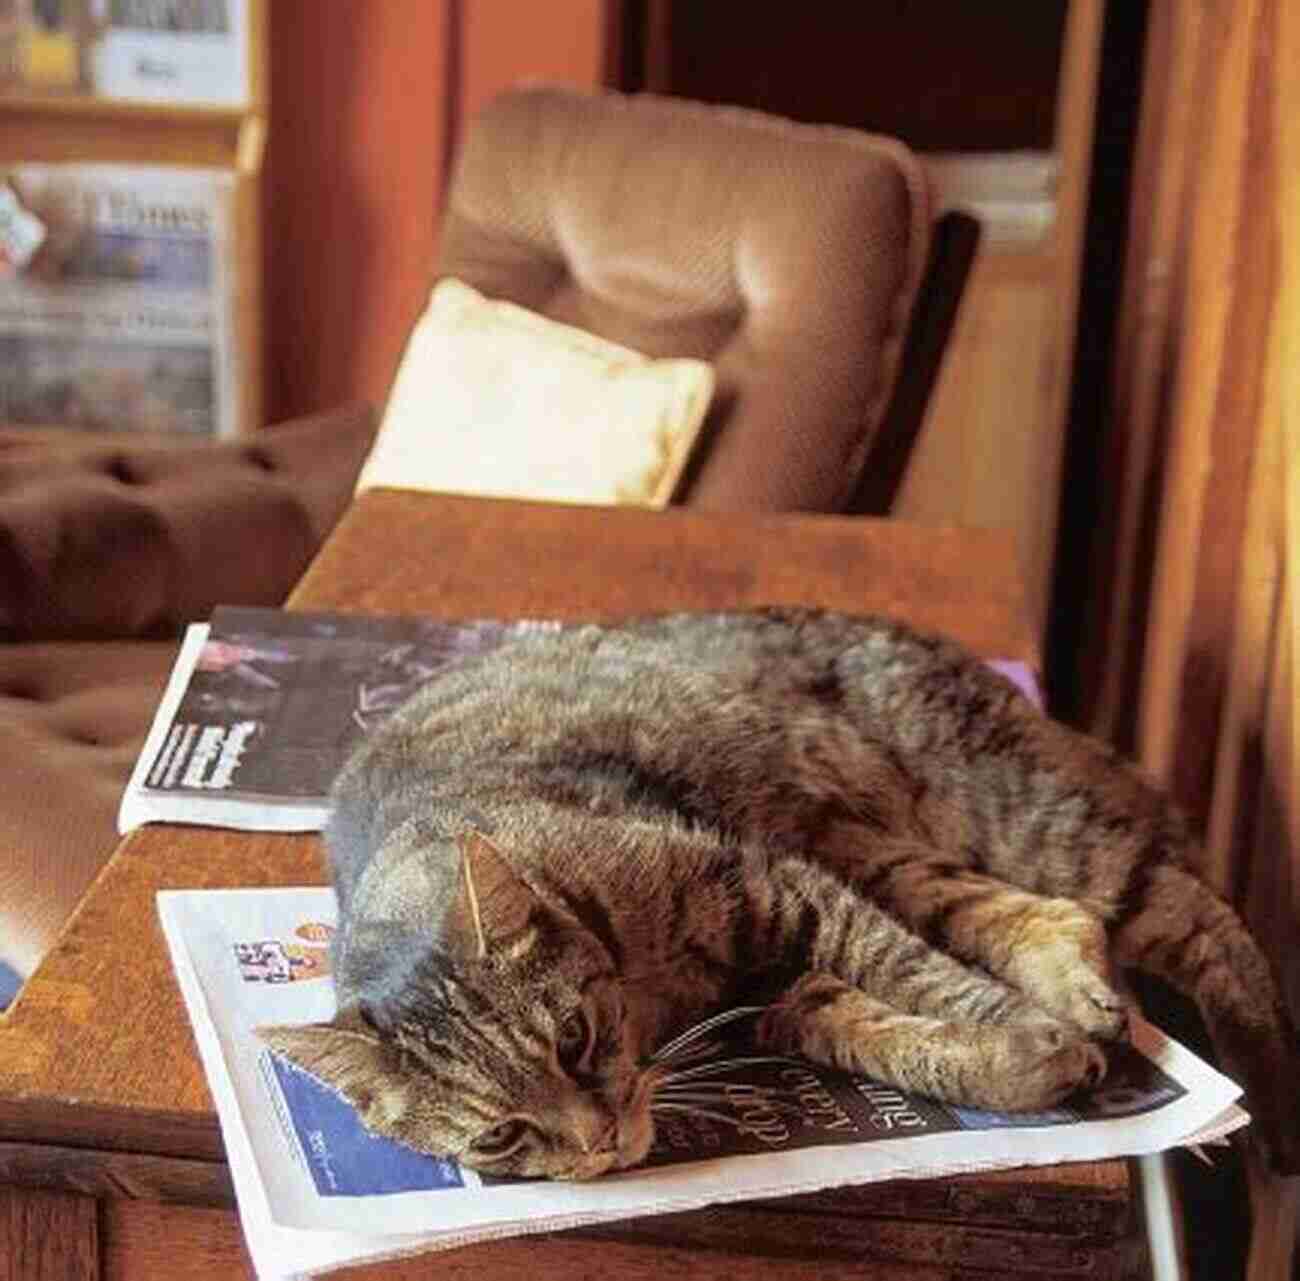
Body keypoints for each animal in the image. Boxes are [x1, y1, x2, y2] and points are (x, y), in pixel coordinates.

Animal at [256, 608, 1300, 1180]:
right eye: (503, 1133)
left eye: (574, 1040)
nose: (599, 1143)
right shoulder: (781, 991)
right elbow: (897, 1037)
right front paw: (1020, 1057)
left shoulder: (773, 887)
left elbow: (920, 979)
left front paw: (1034, 1038)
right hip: (884, 849)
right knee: (1048, 914)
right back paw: (1079, 988)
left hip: (1002, 815)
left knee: (1198, 912)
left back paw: (1273, 1095)